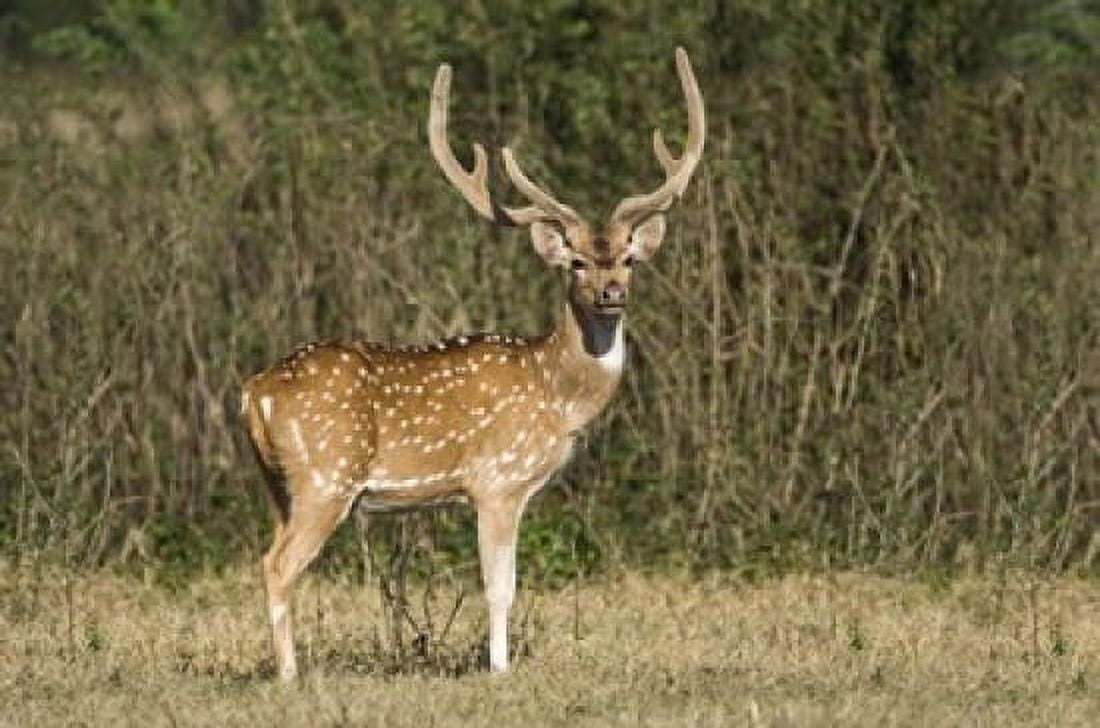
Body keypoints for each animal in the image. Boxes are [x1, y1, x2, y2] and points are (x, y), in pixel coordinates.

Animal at [240, 48, 704, 681]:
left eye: (629, 259)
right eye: (577, 263)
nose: (611, 293)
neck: (557, 394)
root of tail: (253, 393)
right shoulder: (497, 481)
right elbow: (500, 587)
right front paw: (499, 670)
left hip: (277, 484)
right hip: (324, 477)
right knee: (278, 566)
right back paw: (290, 676)